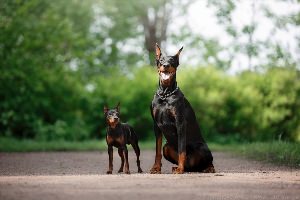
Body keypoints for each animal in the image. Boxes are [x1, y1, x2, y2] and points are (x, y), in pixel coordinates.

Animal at [150, 43, 216, 173]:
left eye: (172, 61)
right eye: (161, 60)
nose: (165, 65)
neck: (165, 94)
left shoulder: (180, 123)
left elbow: (181, 150)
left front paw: (180, 169)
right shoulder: (156, 126)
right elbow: (157, 151)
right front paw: (156, 168)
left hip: (202, 147)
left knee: (208, 161)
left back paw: (206, 168)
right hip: (167, 147)